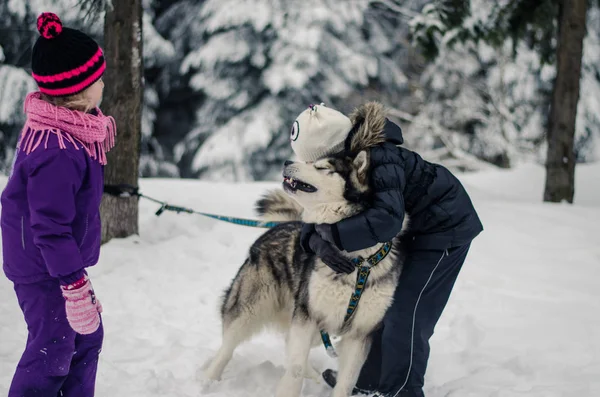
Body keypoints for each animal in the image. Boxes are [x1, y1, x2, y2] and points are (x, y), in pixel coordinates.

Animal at [205, 109, 408, 396]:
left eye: (322, 168)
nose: (287, 161)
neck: (356, 260)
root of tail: (279, 227)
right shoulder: (307, 316)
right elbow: (295, 368)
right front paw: (288, 388)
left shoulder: (359, 333)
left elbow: (346, 381)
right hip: (251, 309)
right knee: (227, 347)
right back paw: (206, 380)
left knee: (287, 343)